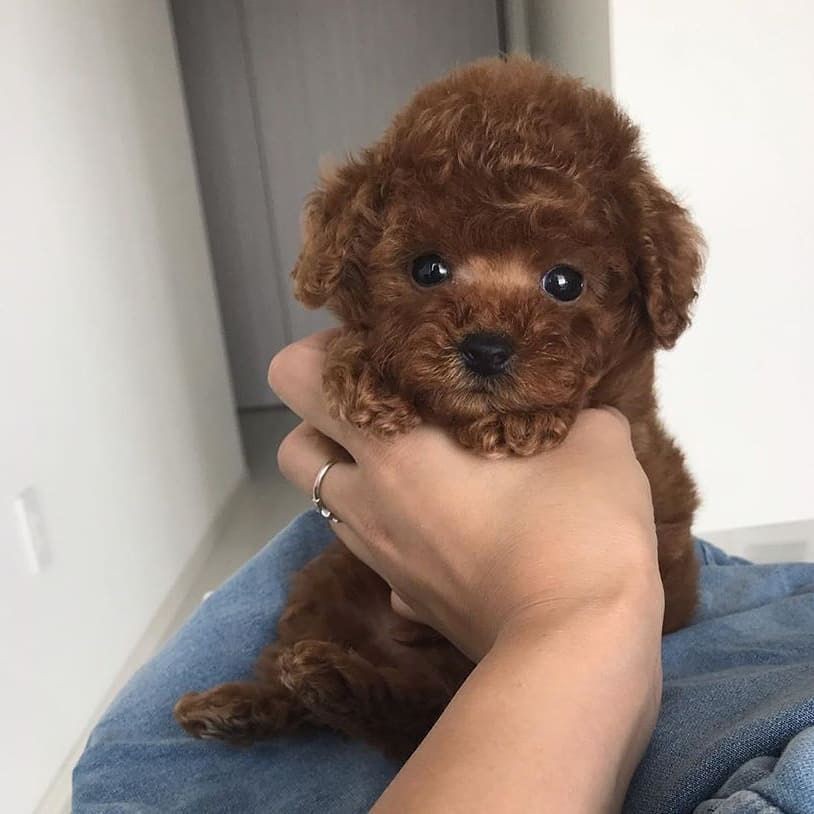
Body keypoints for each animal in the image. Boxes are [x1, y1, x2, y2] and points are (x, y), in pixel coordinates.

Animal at [175, 55, 704, 760]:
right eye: (427, 268)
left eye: (566, 281)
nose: (485, 349)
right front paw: (365, 373)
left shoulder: (635, 429)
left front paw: (518, 418)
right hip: (330, 577)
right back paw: (246, 703)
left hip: (448, 659)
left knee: (415, 715)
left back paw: (329, 682)